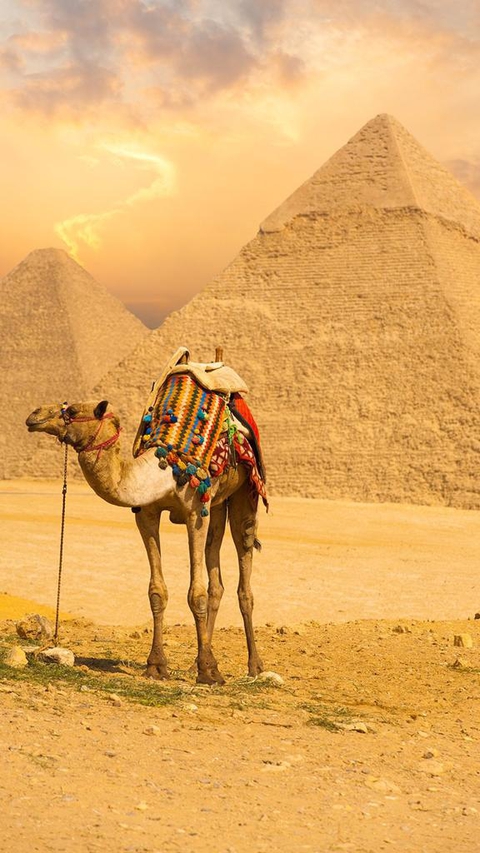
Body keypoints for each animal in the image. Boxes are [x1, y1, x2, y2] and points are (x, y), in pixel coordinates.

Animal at [25, 397, 264, 685]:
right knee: (216, 578)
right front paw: (157, 666)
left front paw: (209, 671)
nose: (34, 415)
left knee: (244, 569)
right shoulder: (147, 514)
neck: (167, 470)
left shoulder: (195, 511)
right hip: (217, 505)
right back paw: (194, 664)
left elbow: (196, 594)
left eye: (71, 410)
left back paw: (254, 666)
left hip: (244, 493)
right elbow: (157, 592)